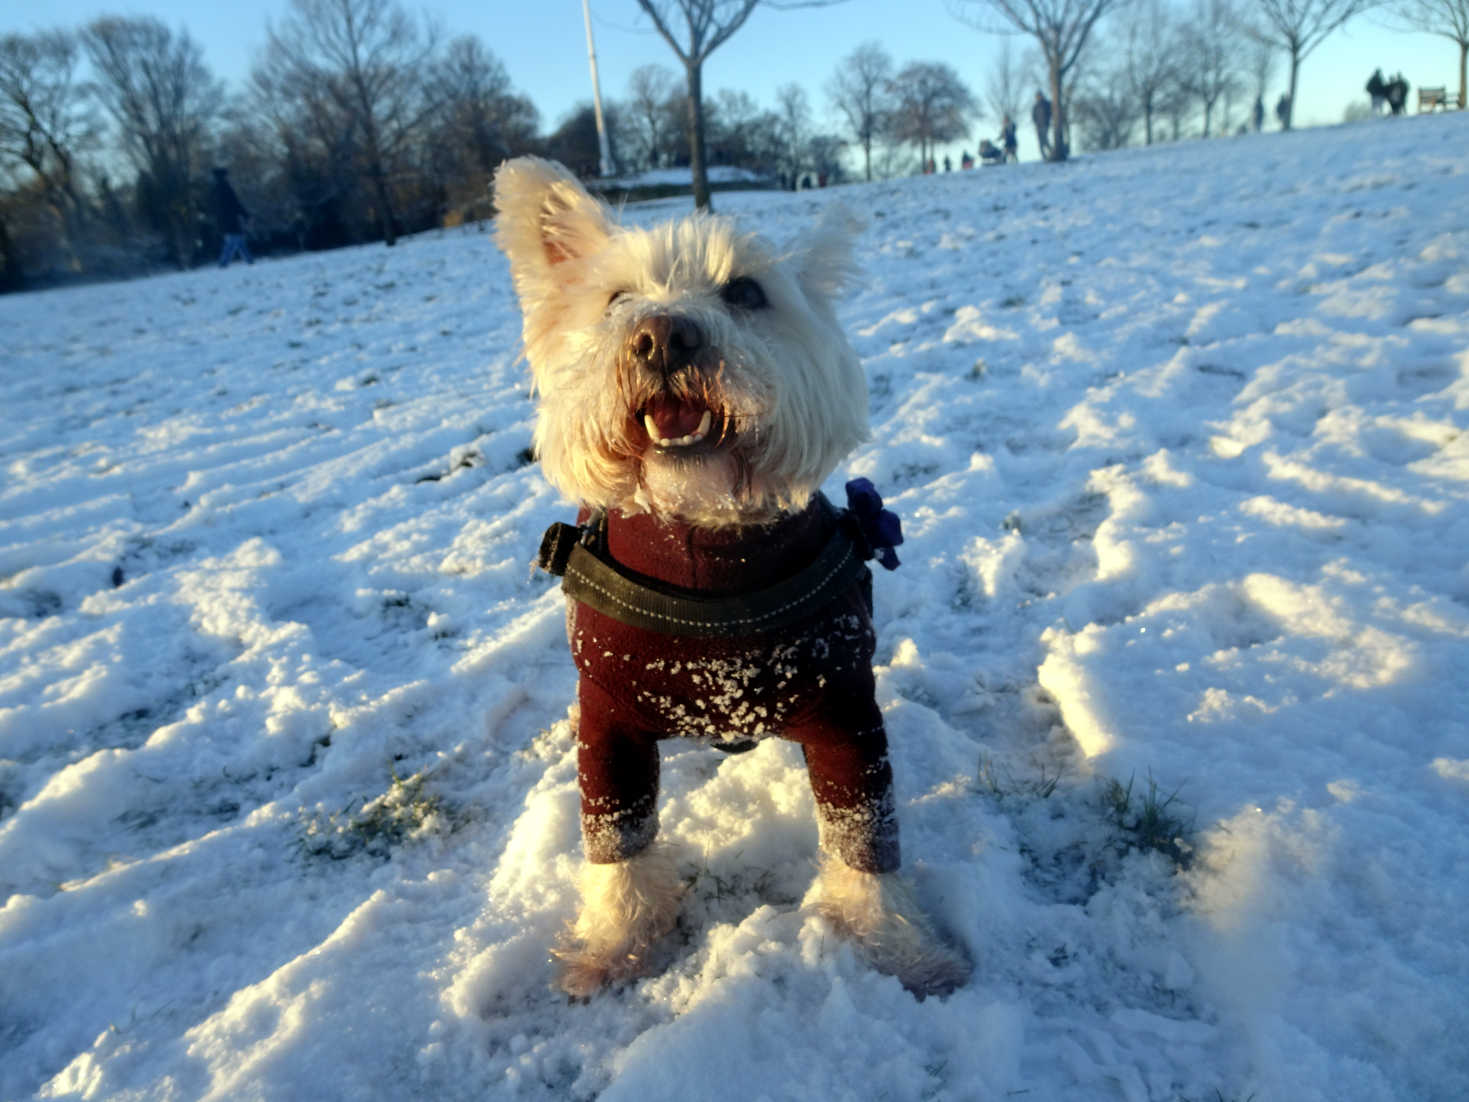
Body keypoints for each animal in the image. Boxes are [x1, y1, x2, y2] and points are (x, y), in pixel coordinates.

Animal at [496, 157, 975, 999]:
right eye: (616, 300)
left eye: (746, 292)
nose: (662, 335)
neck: (708, 548)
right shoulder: (610, 721)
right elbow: (616, 836)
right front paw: (613, 944)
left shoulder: (845, 712)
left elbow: (863, 835)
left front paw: (898, 946)